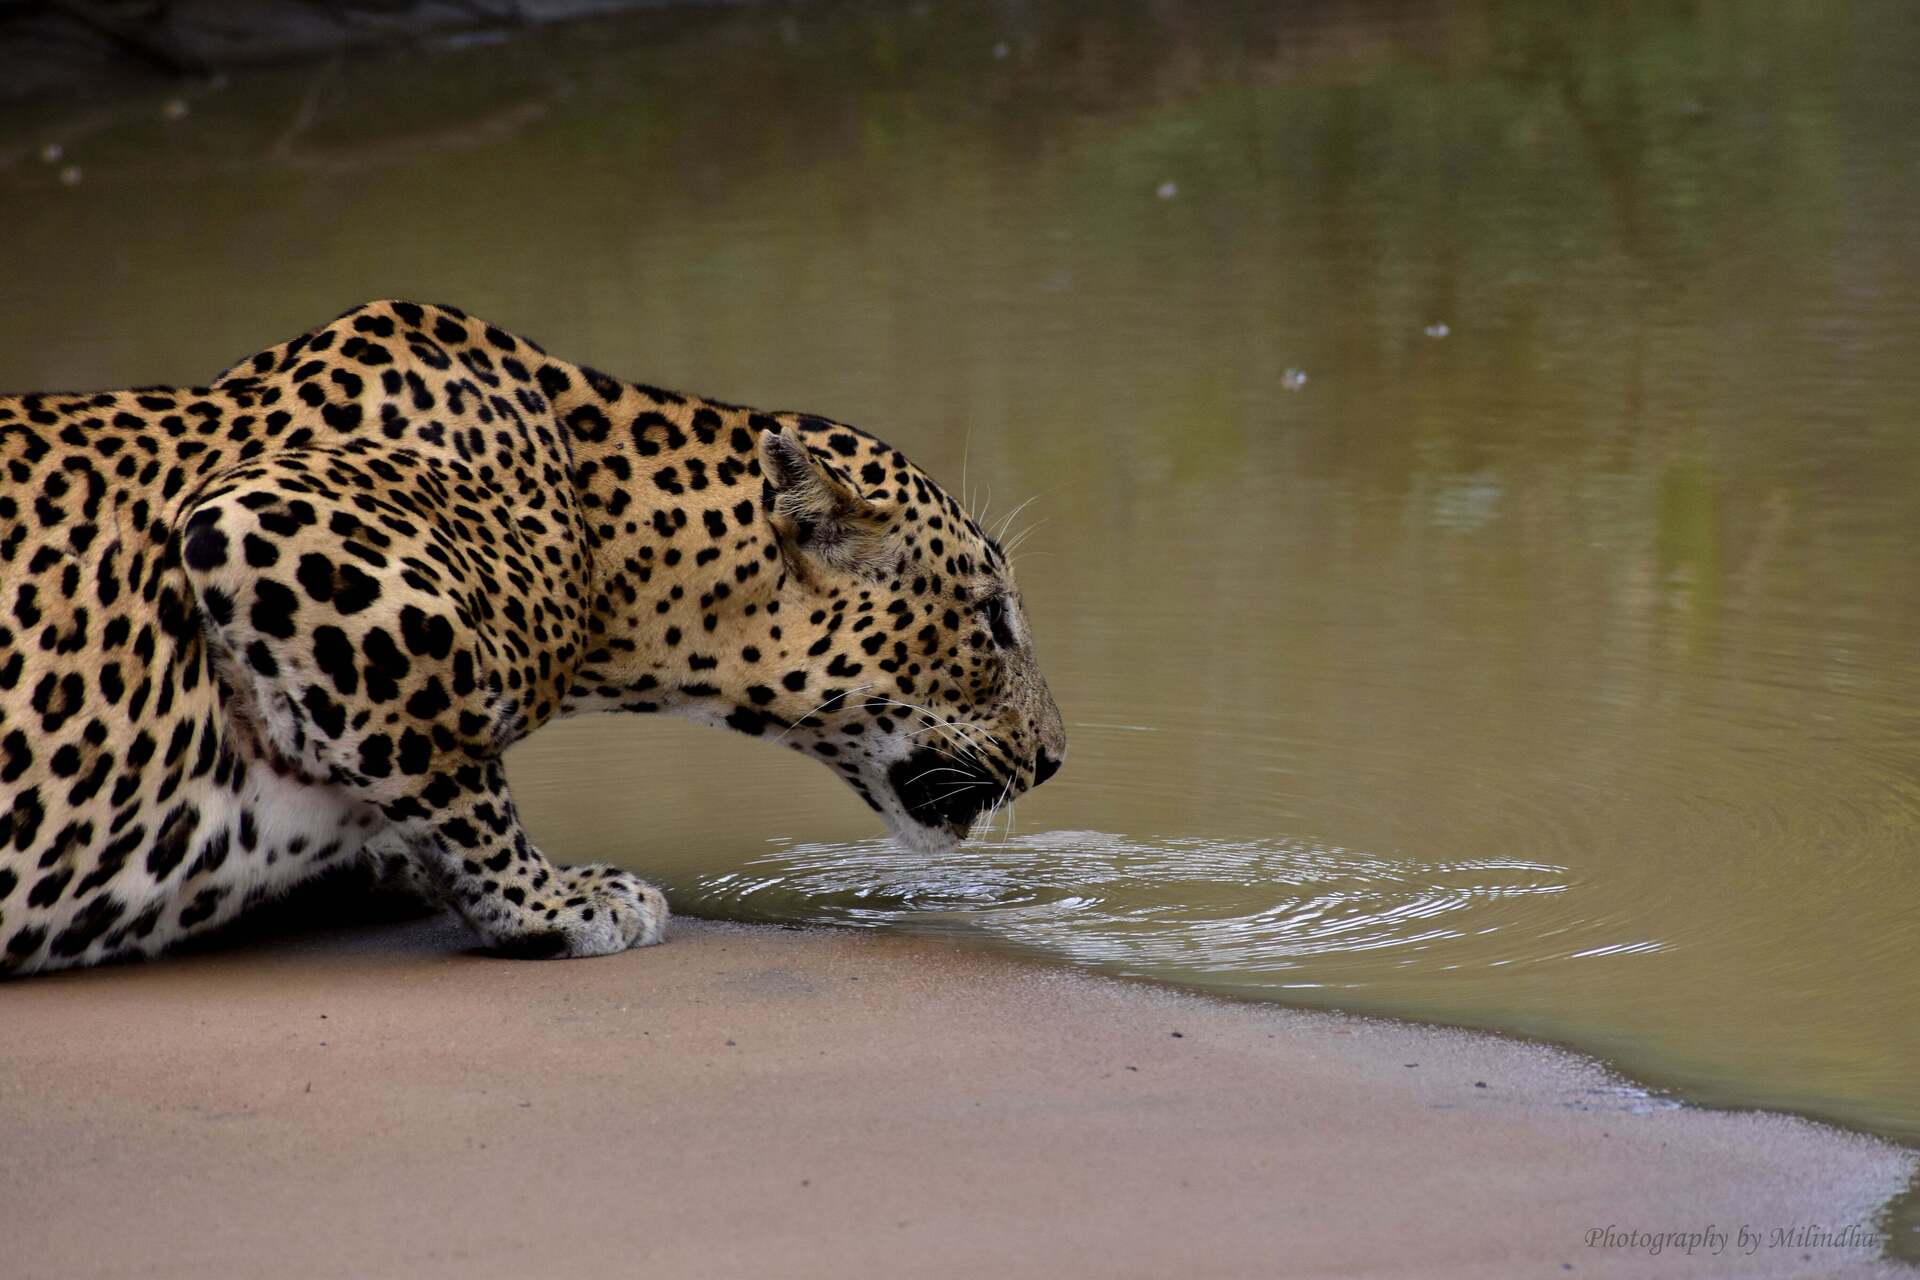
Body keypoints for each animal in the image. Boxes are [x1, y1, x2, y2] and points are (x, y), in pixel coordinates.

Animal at [0, 300, 1065, 977]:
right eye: (991, 618)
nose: (1056, 758)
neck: (609, 548)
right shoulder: (269, 526)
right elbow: (449, 761)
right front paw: (557, 901)